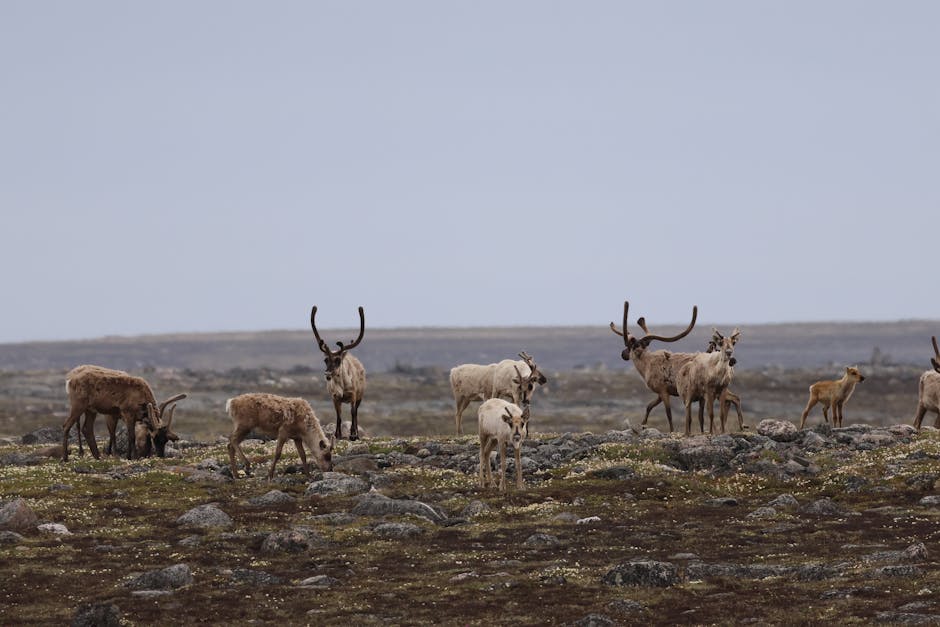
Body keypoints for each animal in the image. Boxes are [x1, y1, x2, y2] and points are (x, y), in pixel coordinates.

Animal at [310, 305, 366, 441]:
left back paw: (356, 434)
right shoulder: (335, 397)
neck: (341, 385)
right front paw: (337, 435)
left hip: (360, 396)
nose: (327, 374)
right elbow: (338, 415)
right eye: (325, 359)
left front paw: (353, 434)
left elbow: (352, 413)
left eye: (338, 360)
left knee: (356, 413)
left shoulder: (353, 395)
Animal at [609, 301, 699, 432]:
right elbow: (649, 406)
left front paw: (672, 431)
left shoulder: (663, 391)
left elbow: (669, 414)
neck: (647, 365)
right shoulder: (660, 393)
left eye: (630, 346)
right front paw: (642, 424)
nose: (622, 354)